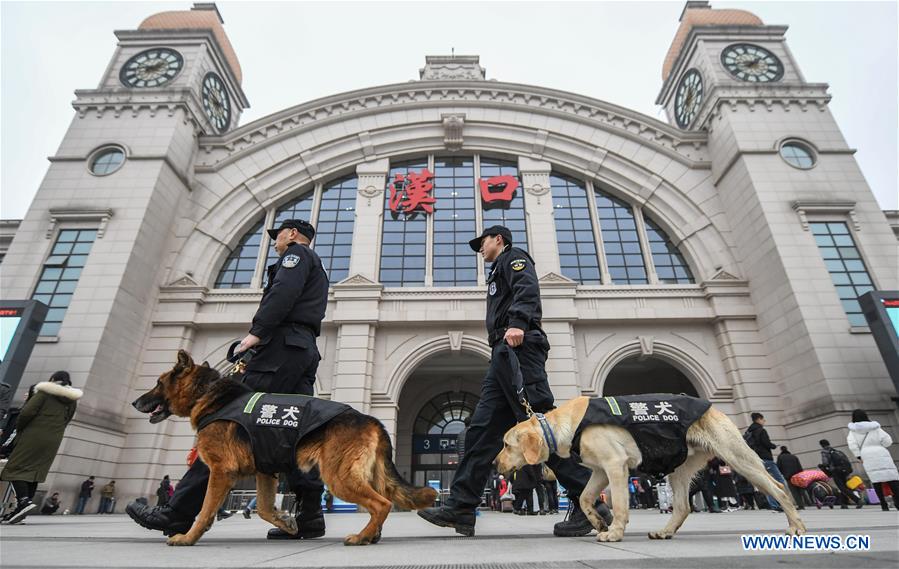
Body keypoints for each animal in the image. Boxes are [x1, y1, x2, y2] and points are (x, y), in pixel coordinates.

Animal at [134, 350, 440, 544]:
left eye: (158, 383)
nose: (135, 402)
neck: (209, 395)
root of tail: (370, 418)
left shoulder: (221, 471)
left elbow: (205, 508)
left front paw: (187, 537)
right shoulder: (265, 472)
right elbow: (265, 509)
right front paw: (287, 524)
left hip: (338, 477)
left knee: (382, 503)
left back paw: (362, 537)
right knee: (382, 501)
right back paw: (370, 535)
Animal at [500, 394, 808, 540]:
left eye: (505, 444)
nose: (494, 463)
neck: (567, 425)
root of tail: (713, 407)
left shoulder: (615, 465)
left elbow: (620, 505)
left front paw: (614, 532)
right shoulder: (599, 470)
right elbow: (586, 498)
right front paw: (597, 521)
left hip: (736, 455)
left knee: (778, 487)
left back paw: (796, 525)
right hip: (681, 467)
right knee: (682, 506)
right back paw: (666, 531)